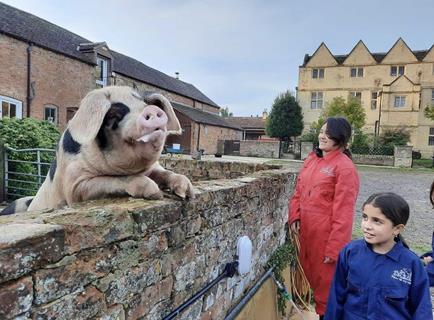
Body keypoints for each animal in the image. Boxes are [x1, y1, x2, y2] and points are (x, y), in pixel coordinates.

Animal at [1, 85, 195, 215]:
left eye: (144, 104)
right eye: (113, 114)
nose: (152, 110)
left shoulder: (154, 168)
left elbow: (167, 173)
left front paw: (187, 193)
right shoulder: (74, 187)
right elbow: (114, 180)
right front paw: (155, 193)